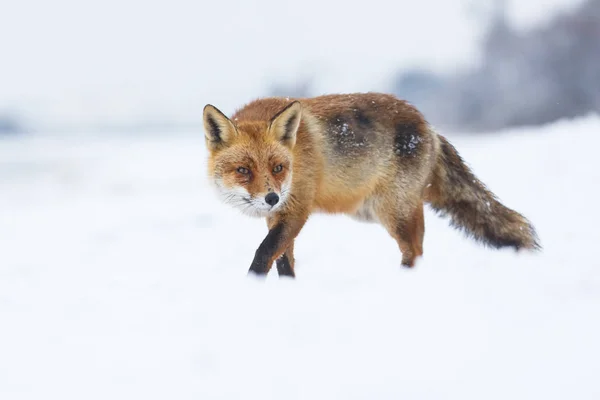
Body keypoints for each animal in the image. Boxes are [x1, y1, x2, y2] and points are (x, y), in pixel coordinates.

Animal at [204, 92, 540, 276]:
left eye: (278, 168)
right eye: (243, 170)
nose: (272, 197)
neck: (296, 157)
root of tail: (429, 127)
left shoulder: (297, 209)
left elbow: (265, 253)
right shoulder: (279, 216)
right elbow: (284, 261)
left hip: (394, 211)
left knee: (414, 251)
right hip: (373, 211)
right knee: (417, 249)